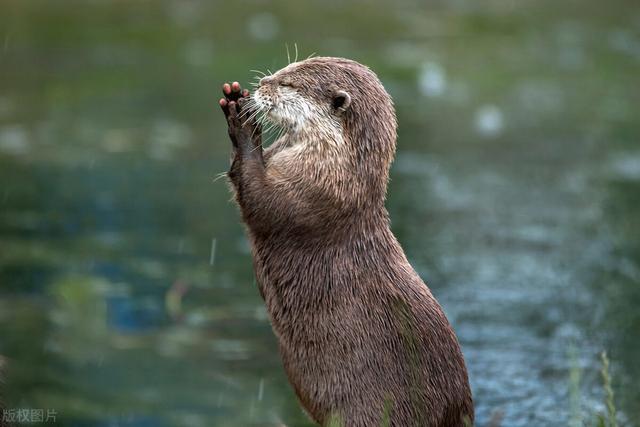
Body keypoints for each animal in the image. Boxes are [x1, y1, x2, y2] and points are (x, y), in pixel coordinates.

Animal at [218, 57, 472, 427]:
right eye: (287, 67)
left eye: (288, 84)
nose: (264, 83)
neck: (338, 168)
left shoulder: (312, 194)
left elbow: (261, 202)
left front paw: (241, 121)